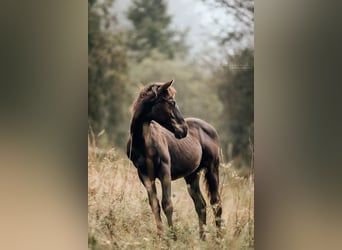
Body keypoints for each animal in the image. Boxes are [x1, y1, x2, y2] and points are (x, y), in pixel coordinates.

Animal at [127, 80, 223, 240]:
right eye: (171, 102)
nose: (183, 130)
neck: (144, 143)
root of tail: (211, 129)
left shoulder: (165, 171)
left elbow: (167, 204)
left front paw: (172, 238)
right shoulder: (144, 174)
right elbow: (155, 204)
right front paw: (160, 237)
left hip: (212, 168)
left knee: (216, 203)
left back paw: (219, 240)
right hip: (192, 175)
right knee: (201, 205)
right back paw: (202, 239)